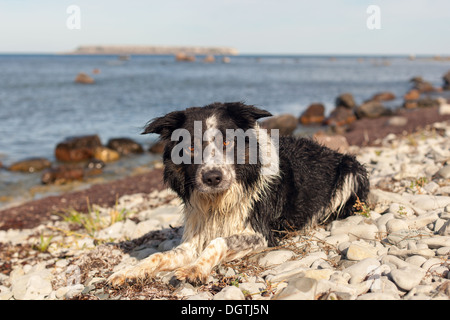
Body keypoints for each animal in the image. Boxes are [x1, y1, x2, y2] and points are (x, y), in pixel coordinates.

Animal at [109, 102, 370, 284]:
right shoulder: (195, 235)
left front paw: (195, 269)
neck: (219, 200)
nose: (212, 177)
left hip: (351, 170)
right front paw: (129, 271)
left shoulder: (261, 233)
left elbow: (218, 242)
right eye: (190, 147)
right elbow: (159, 256)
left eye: (227, 143)